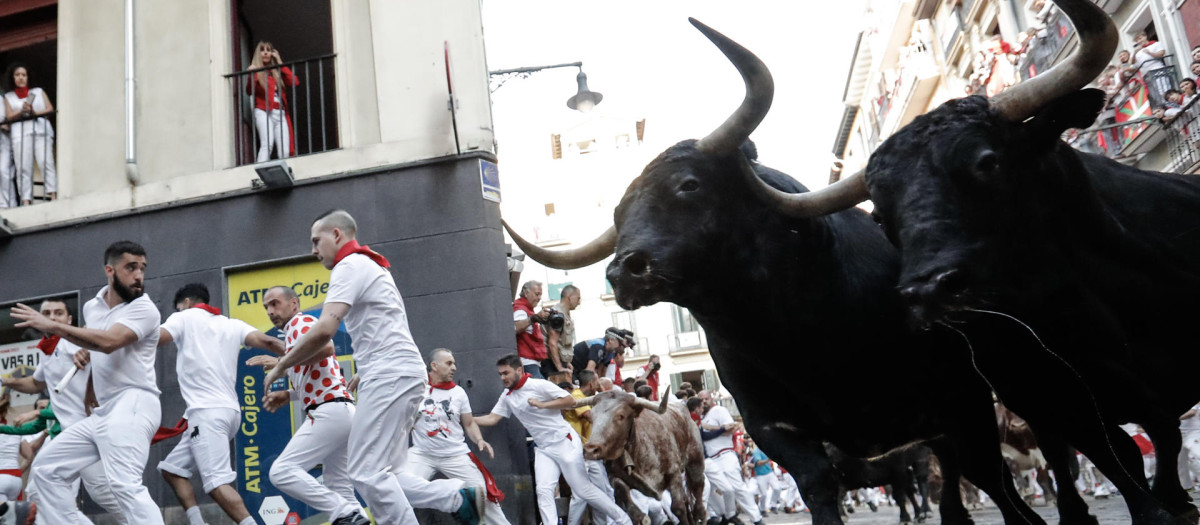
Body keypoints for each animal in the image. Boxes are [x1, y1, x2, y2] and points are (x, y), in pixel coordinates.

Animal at [501, 17, 1065, 525]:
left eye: (689, 185)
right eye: (618, 217)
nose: (624, 271)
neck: (798, 328)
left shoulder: (963, 399)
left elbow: (991, 479)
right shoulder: (773, 426)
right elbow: (819, 487)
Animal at [739, 0, 1200, 522]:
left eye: (987, 161)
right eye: (879, 214)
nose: (927, 291)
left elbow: (1153, 442)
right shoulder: (1059, 397)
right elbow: (1122, 456)